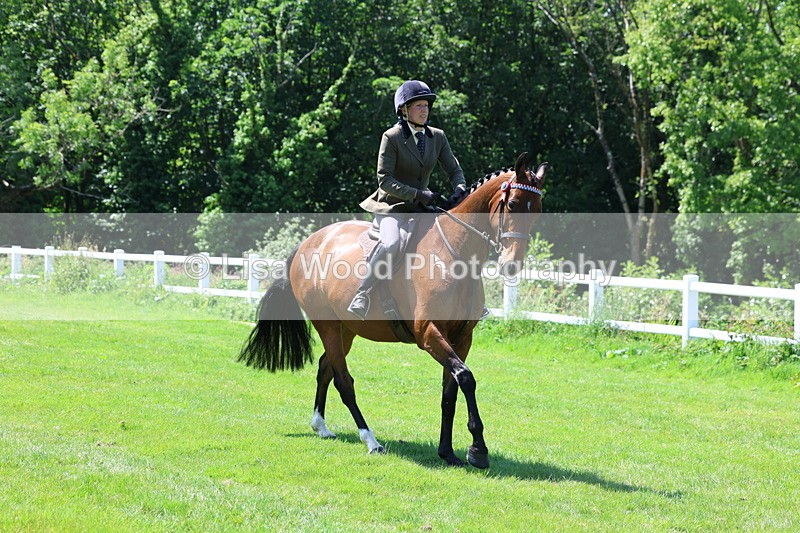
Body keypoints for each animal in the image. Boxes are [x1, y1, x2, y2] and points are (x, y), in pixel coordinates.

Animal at [239, 152, 547, 468]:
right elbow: (466, 377)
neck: (453, 253)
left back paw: (321, 426)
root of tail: (307, 244)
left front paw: (448, 452)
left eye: (537, 210)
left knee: (326, 368)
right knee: (343, 380)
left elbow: (450, 393)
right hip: (327, 325)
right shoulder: (429, 334)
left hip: (345, 329)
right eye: (512, 204)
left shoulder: (462, 338)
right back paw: (370, 441)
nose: (512, 264)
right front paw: (478, 450)